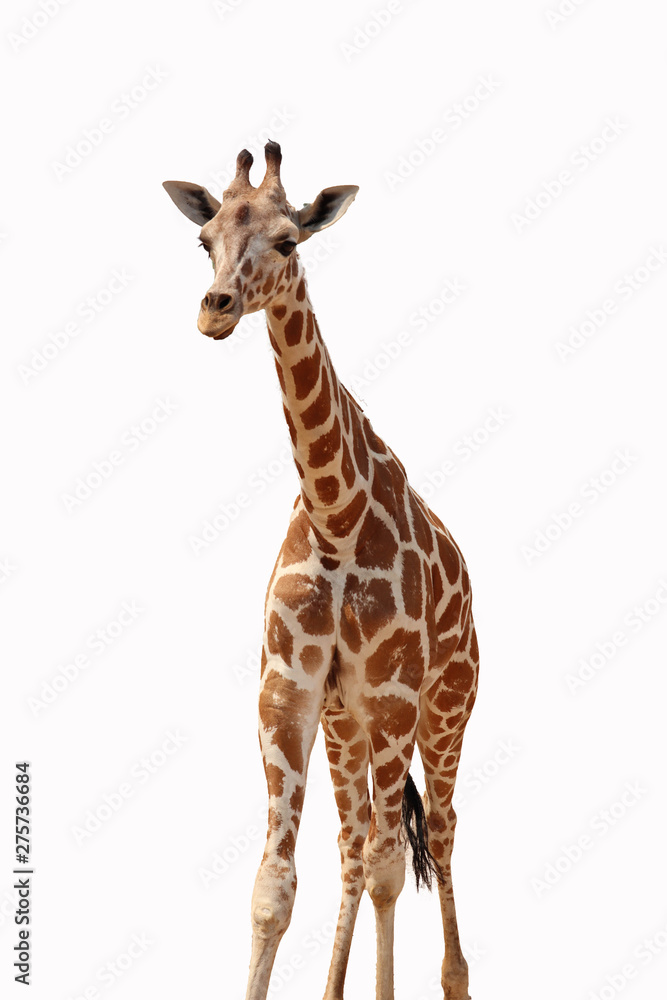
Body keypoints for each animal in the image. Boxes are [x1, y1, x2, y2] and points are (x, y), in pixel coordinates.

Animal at [163, 142, 479, 1000]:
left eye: (288, 241)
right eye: (203, 239)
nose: (215, 309)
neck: (336, 514)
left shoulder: (397, 695)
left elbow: (390, 863)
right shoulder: (289, 692)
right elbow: (274, 886)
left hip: (445, 709)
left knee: (434, 834)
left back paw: (454, 980)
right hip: (348, 726)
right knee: (355, 843)